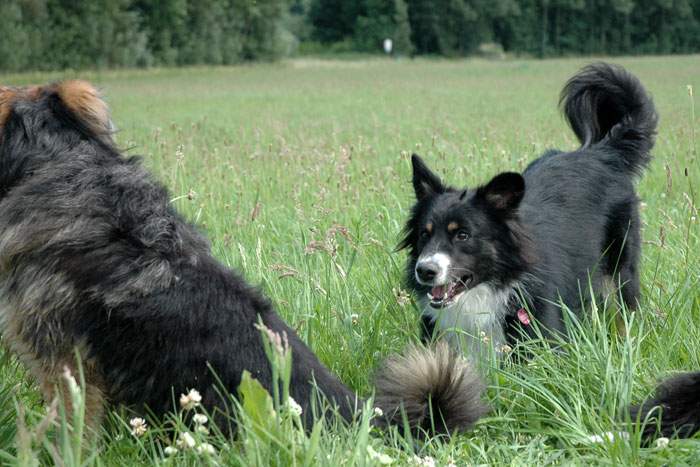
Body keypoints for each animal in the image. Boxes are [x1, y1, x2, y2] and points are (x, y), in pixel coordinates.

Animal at [400, 62, 656, 354]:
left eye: (463, 235)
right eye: (425, 234)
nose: (425, 271)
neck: (487, 290)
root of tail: (603, 154)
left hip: (620, 266)